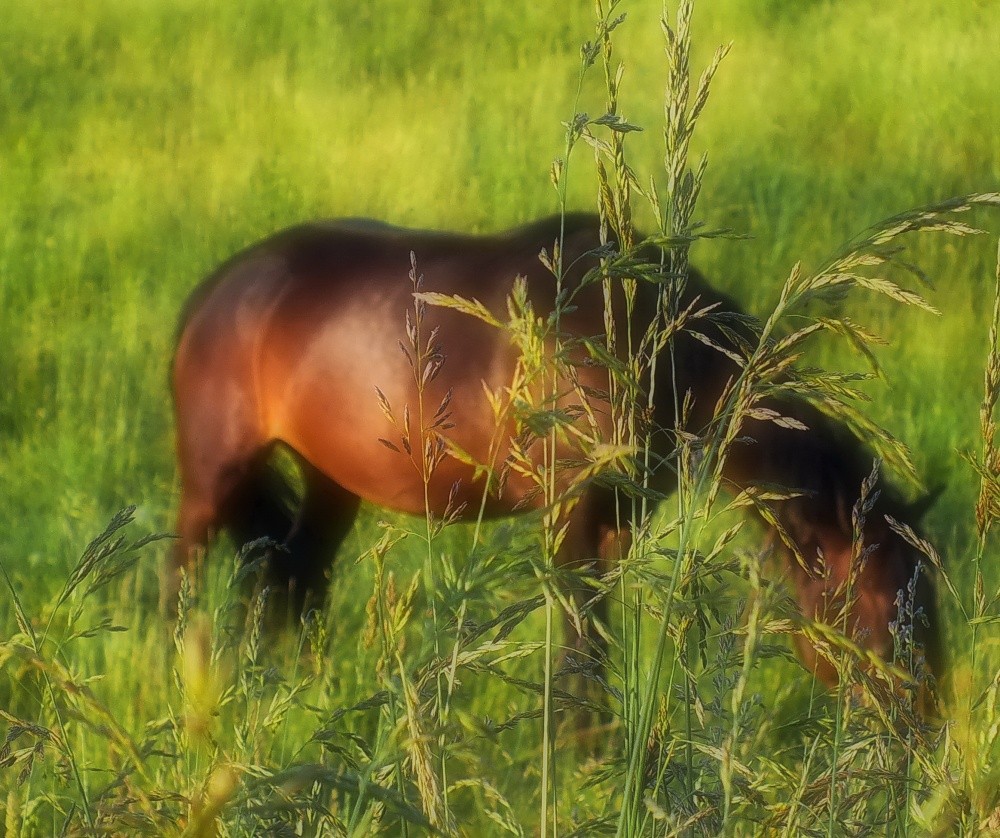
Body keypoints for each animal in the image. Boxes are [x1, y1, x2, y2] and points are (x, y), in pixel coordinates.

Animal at [167, 212, 938, 694]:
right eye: (879, 604)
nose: (926, 724)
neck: (648, 343)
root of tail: (214, 294)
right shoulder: (570, 516)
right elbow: (579, 647)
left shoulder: (618, 521)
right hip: (214, 477)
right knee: (183, 573)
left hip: (331, 483)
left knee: (294, 577)